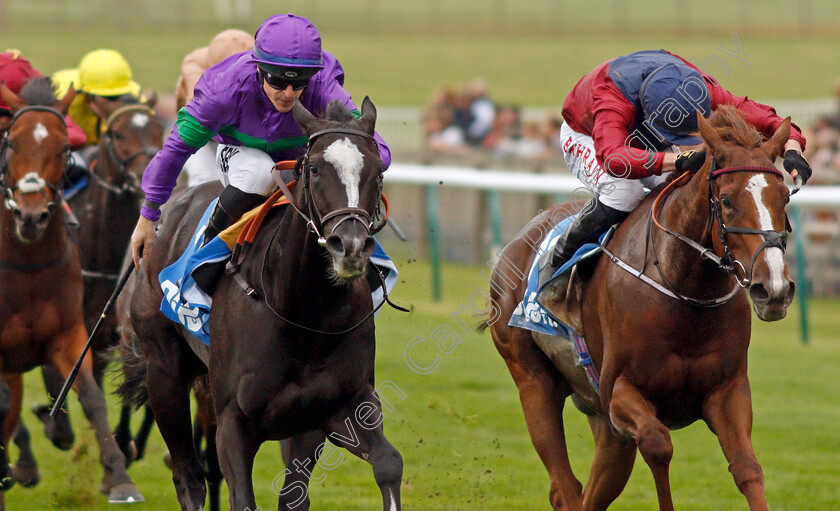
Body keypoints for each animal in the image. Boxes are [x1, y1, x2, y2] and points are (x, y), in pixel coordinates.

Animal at [0, 78, 142, 506]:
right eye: (11, 143)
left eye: (64, 148)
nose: (31, 216)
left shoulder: (72, 335)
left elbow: (93, 396)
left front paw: (120, 476)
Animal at [120, 98, 404, 510]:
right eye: (314, 168)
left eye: (377, 170)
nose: (349, 246)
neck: (303, 315)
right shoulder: (233, 423)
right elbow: (241, 496)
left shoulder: (335, 409)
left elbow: (386, 463)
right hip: (163, 369)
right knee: (188, 476)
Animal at [486, 105, 796, 511]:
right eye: (727, 200)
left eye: (785, 198)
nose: (773, 288)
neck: (685, 294)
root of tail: (517, 242)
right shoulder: (620, 390)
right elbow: (658, 445)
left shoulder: (727, 390)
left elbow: (747, 467)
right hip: (533, 379)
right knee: (565, 488)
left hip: (602, 421)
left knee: (594, 490)